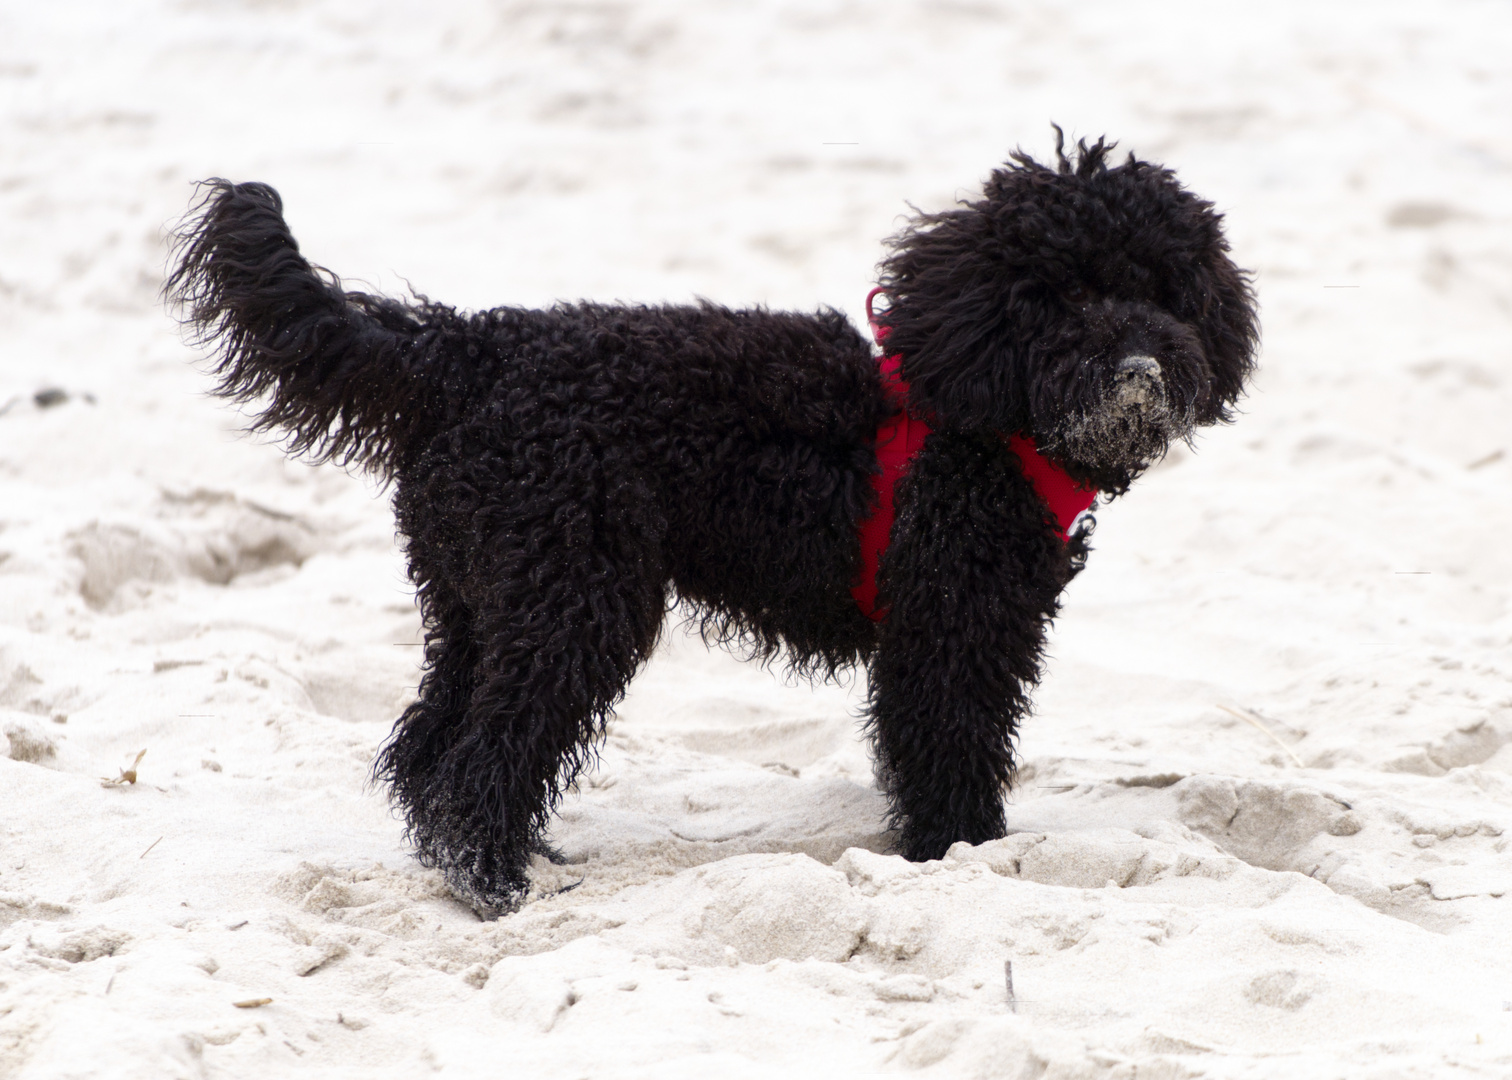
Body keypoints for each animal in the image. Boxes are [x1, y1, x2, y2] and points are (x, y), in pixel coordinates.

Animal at [165, 134, 1257, 907]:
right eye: (1061, 293)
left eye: (1165, 291)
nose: (1140, 366)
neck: (985, 413)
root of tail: (469, 352)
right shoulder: (951, 626)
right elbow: (948, 744)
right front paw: (961, 850)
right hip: (576, 593)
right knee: (488, 749)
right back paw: (493, 878)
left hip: (479, 593)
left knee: (431, 741)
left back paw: (484, 853)